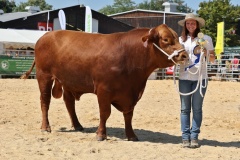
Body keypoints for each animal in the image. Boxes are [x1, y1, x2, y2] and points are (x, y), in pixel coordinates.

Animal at [22, 24, 188, 141]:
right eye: (165, 40)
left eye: (177, 38)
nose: (185, 55)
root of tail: (46, 35)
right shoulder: (103, 90)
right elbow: (105, 113)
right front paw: (101, 134)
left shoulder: (130, 94)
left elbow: (129, 115)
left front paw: (131, 135)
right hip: (44, 76)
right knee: (45, 101)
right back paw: (45, 127)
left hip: (68, 81)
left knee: (69, 102)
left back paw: (77, 125)